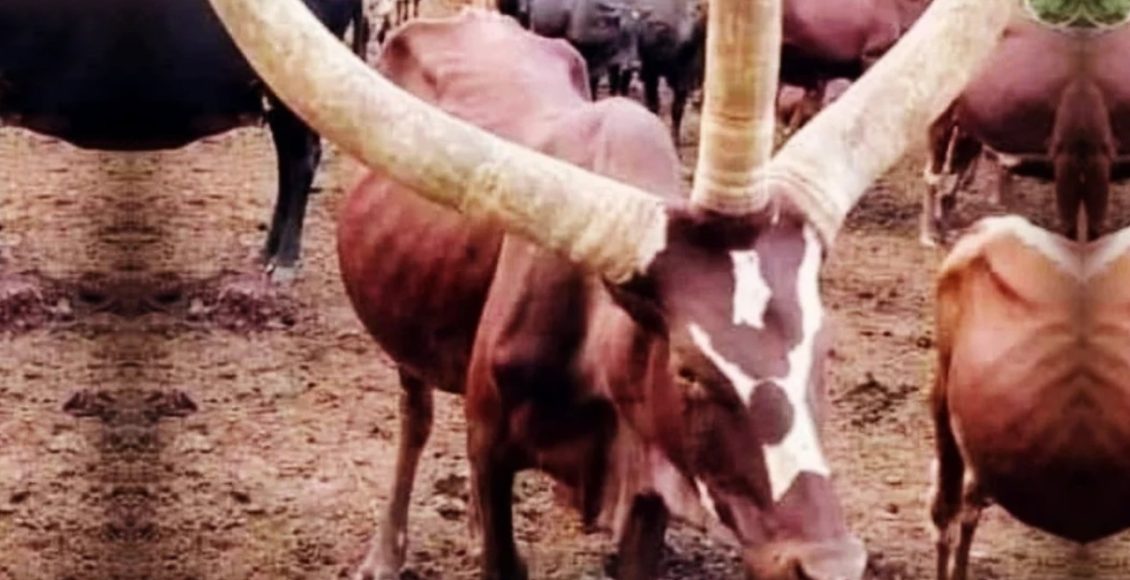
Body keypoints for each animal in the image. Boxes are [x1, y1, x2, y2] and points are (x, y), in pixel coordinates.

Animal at [920, 14, 1130, 246]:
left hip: (969, 127)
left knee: (954, 173)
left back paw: (948, 229)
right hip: (941, 118)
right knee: (933, 175)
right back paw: (930, 234)